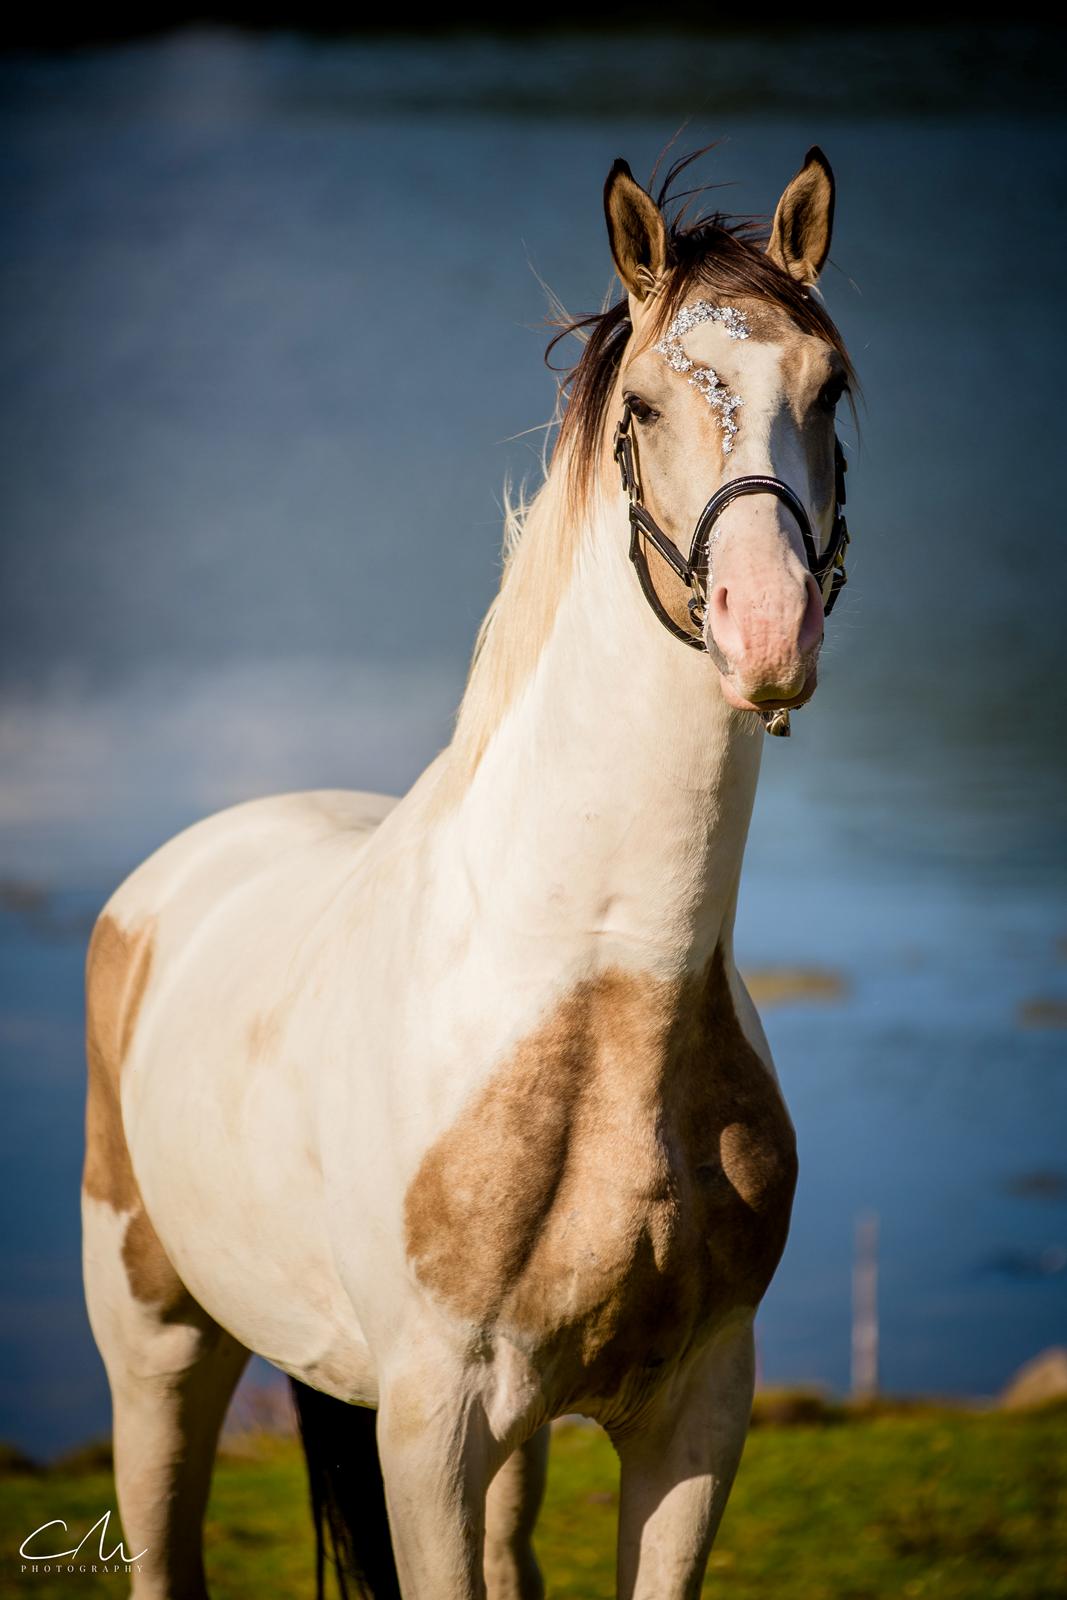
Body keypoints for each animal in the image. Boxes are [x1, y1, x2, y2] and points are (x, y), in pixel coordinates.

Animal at [79, 144, 857, 1593]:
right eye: (647, 404)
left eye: (827, 386)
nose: (766, 627)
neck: (604, 1007)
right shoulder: (428, 1426)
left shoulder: (695, 1413)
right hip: (159, 1344)